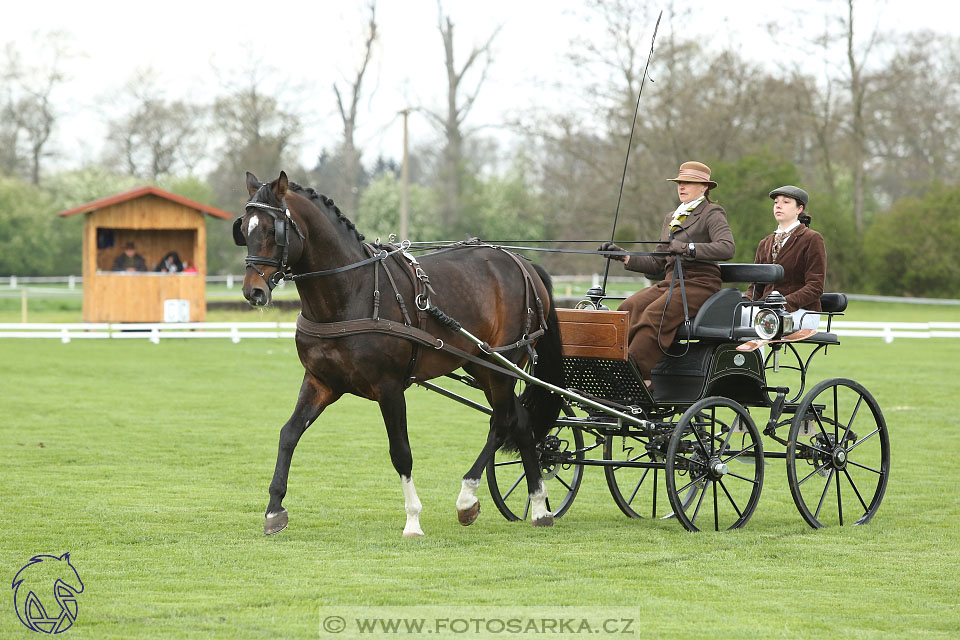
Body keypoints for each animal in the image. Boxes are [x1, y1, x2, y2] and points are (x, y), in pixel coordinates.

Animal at [234, 170, 564, 536]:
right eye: (244, 228)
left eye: (273, 230)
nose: (253, 291)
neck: (353, 291)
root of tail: (523, 264)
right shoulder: (321, 382)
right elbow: (288, 434)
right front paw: (274, 509)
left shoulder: (389, 387)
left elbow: (400, 452)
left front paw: (413, 519)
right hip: (481, 364)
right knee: (519, 421)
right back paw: (539, 506)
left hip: (500, 362)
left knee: (503, 420)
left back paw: (468, 497)